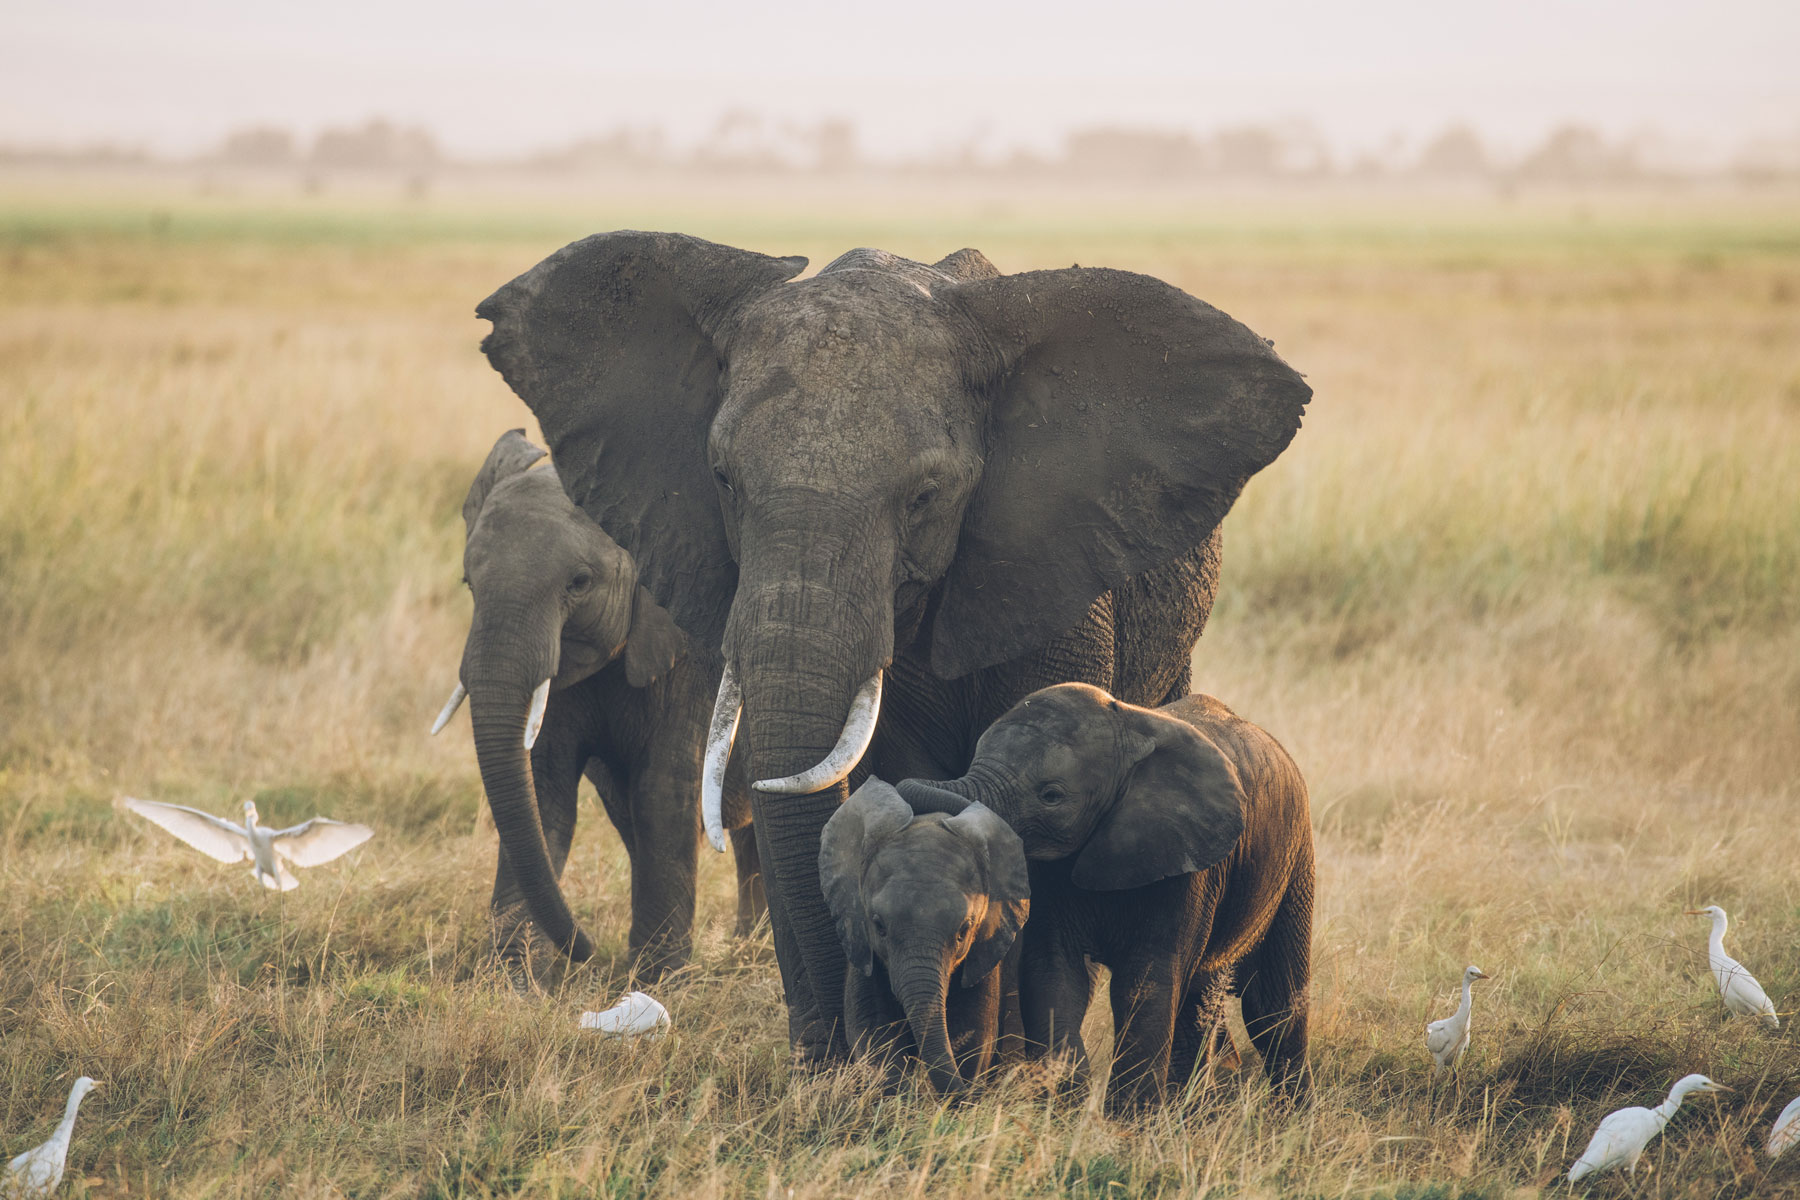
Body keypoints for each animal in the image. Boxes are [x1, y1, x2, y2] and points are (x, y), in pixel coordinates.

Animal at [820, 780, 1029, 1101]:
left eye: (964, 931)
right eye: (879, 926)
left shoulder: (984, 950)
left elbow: (976, 1034)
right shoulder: (862, 946)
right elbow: (873, 1031)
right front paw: (900, 1102)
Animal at [896, 683, 1310, 1108]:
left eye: (1051, 795)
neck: (1129, 727)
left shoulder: (1189, 866)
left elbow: (1146, 982)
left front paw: (1128, 1118)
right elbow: (1055, 971)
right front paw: (1068, 1105)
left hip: (1295, 860)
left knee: (1273, 1006)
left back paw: (1290, 1112)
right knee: (1203, 1000)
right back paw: (1192, 1110)